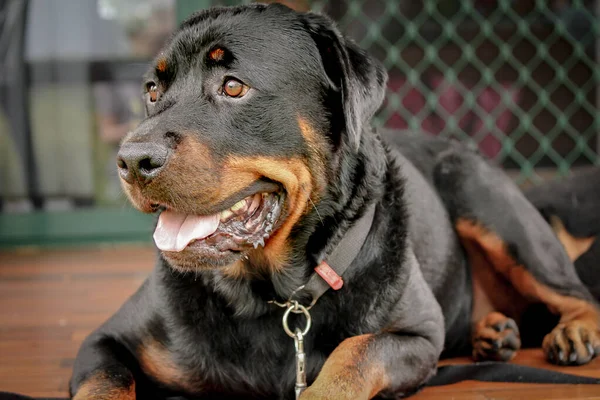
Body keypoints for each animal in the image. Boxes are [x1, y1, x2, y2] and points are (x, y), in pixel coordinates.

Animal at [71, 3, 600, 400]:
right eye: (152, 90)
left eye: (233, 86)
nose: (132, 159)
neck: (270, 293)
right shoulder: (104, 342)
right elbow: (103, 383)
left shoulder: (417, 336)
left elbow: (354, 353)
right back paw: (493, 332)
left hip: (484, 199)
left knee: (576, 293)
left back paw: (573, 331)